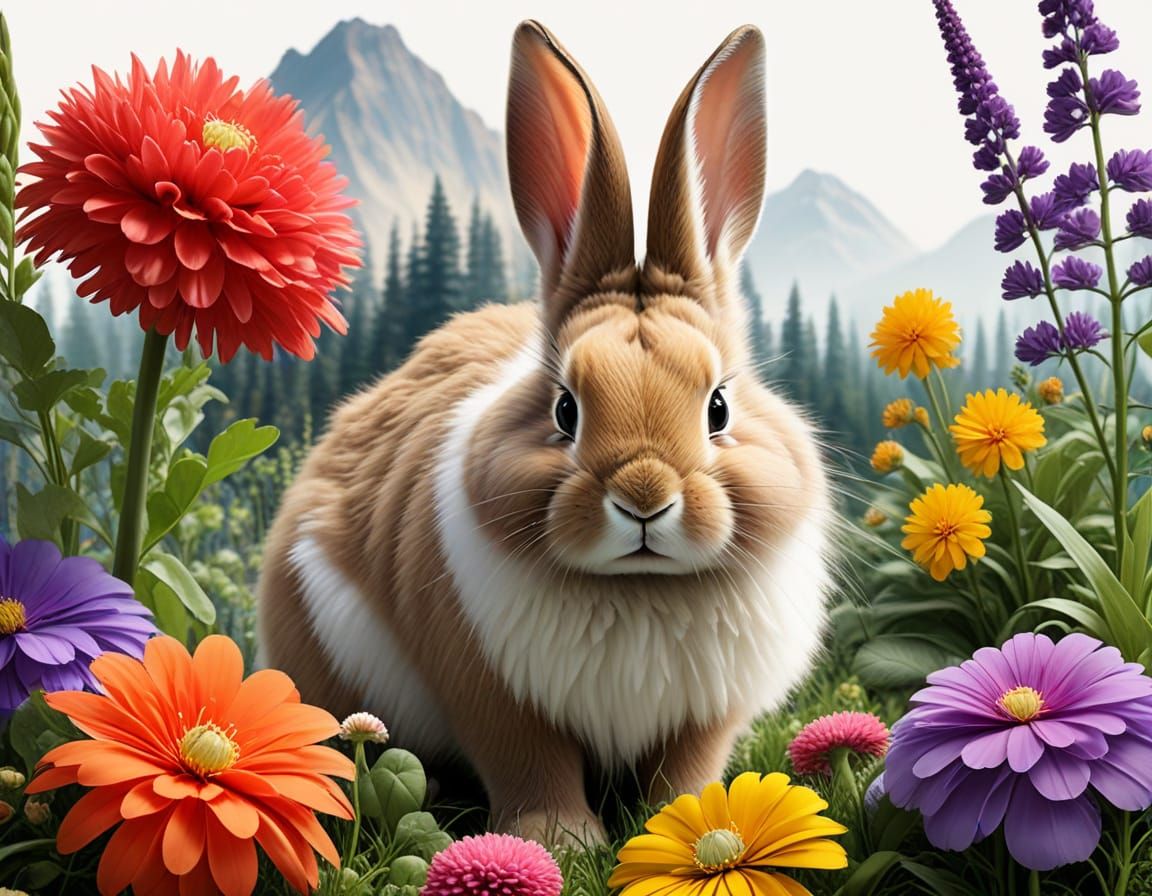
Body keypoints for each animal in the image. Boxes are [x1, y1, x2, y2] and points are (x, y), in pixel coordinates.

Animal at [257, 19, 832, 846]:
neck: (640, 590)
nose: (645, 499)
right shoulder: (492, 691)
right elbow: (531, 762)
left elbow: (684, 773)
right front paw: (560, 840)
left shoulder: (704, 716)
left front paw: (688, 826)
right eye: (566, 409)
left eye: (719, 406)